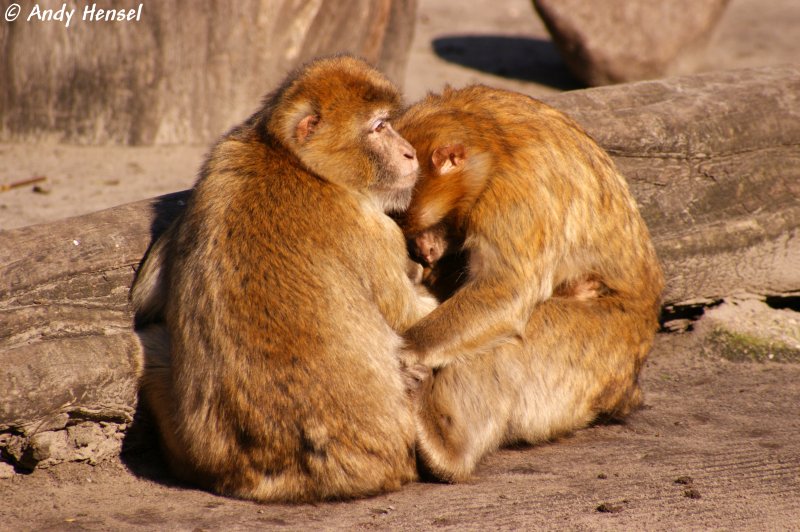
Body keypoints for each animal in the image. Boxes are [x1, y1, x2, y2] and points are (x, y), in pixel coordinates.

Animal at [130, 57, 438, 502]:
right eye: (380, 126)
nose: (410, 152)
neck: (291, 159)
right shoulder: (369, 226)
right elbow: (410, 316)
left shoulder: (223, 155)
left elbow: (146, 298)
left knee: (150, 344)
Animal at [394, 85, 664, 480]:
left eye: (401, 214)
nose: (420, 250)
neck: (487, 148)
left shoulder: (513, 195)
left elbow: (507, 289)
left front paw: (407, 348)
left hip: (606, 347)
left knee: (518, 341)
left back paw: (447, 448)